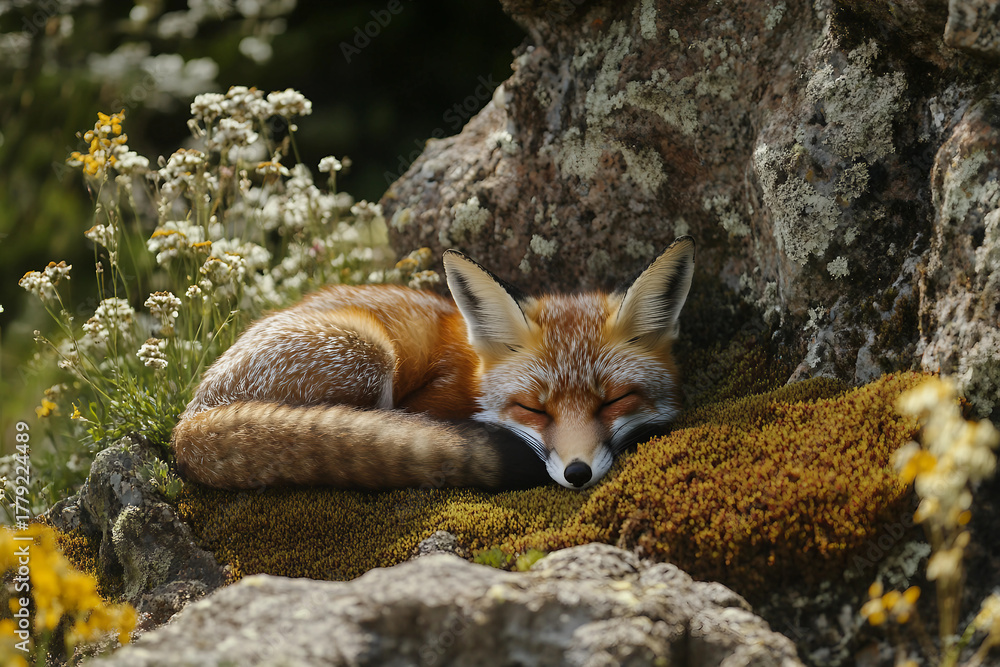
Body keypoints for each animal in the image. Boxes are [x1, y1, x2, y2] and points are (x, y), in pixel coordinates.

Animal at [172, 236, 695, 491]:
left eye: (614, 401)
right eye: (533, 409)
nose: (577, 473)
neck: (474, 380)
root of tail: (188, 421)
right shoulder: (429, 401)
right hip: (367, 351)